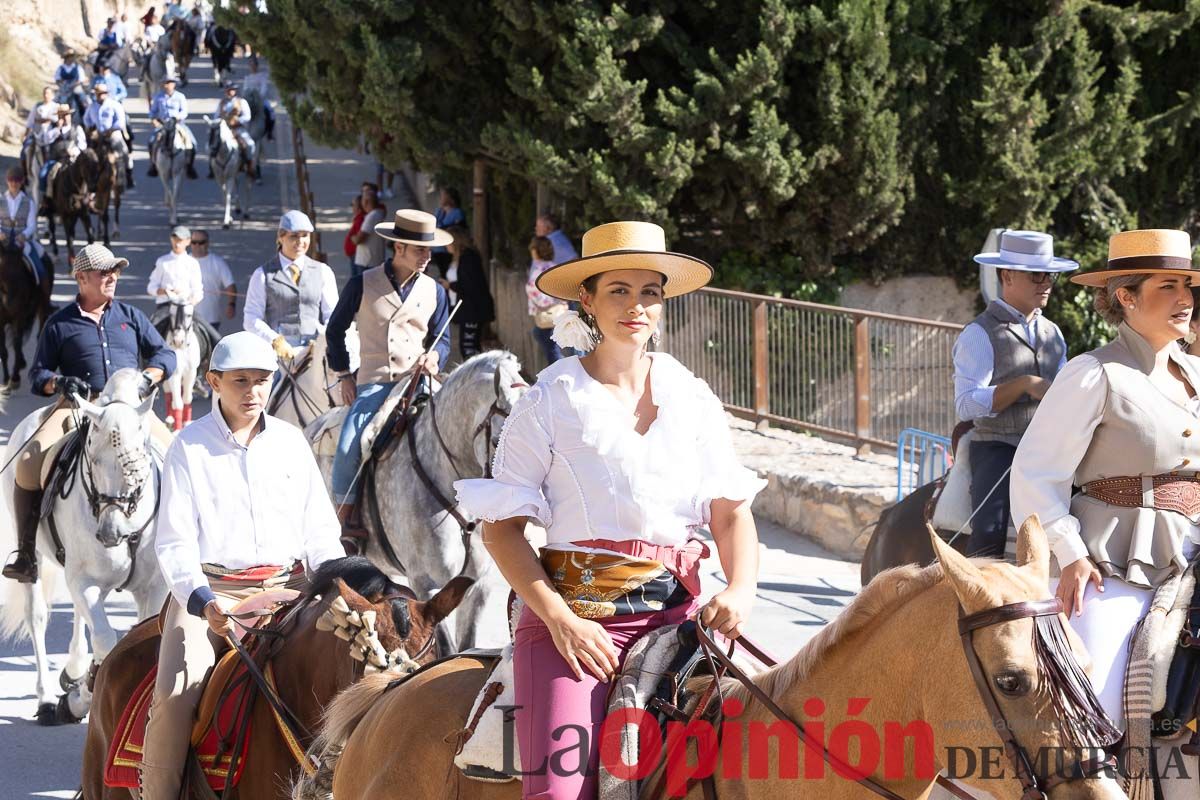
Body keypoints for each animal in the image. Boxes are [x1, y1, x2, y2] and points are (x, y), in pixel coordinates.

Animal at [0, 371, 169, 729]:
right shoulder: (85, 581)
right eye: (93, 456)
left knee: (79, 615)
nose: (110, 533)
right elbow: (105, 640)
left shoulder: (153, 588)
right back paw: (48, 699)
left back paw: (73, 671)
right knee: (37, 616)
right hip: (37, 560)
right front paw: (78, 701)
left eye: (141, 457)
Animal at [160, 297, 200, 429]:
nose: (178, 341)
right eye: (171, 314)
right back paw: (170, 419)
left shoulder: (191, 372)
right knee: (169, 394)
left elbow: (187, 398)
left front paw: (186, 422)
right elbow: (177, 402)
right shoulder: (174, 373)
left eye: (189, 315)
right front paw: (178, 429)